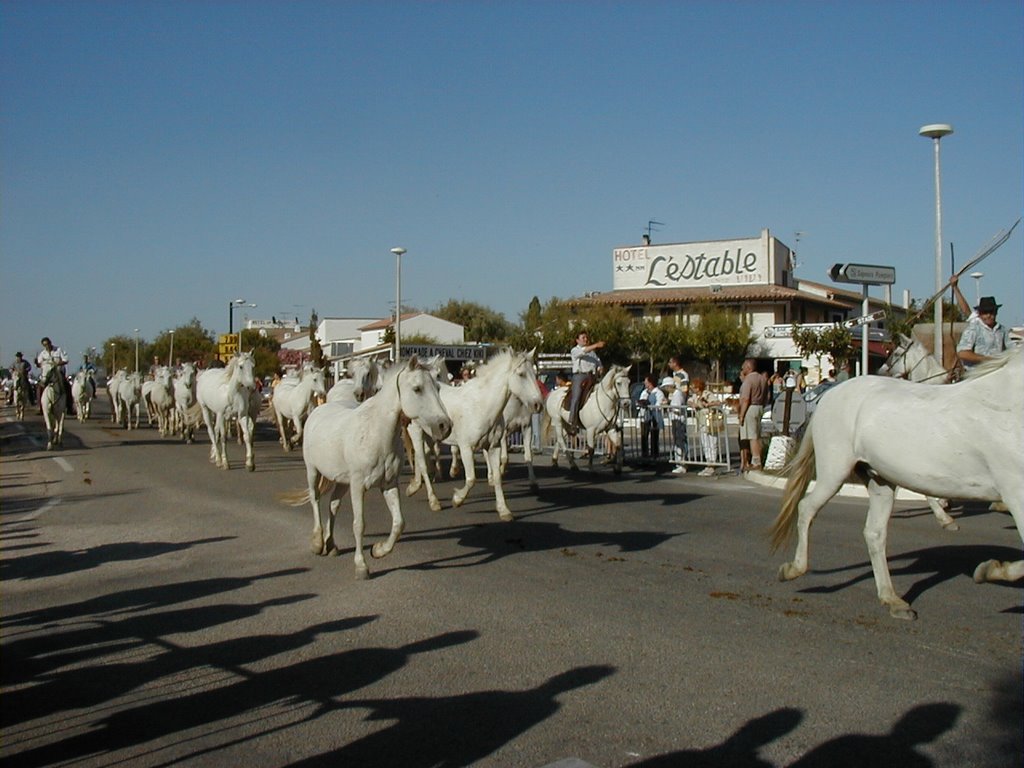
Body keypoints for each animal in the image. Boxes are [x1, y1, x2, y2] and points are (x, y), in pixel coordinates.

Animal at [284, 358, 452, 581]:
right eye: (417, 389)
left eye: (438, 387)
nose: (445, 426)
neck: (376, 433)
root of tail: (318, 410)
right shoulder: (358, 487)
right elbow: (359, 524)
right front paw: (361, 566)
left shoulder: (389, 485)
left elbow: (399, 523)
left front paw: (378, 550)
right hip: (313, 472)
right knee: (315, 499)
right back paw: (318, 543)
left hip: (341, 481)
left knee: (333, 505)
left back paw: (331, 545)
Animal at [770, 348, 1024, 618]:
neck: (1006, 405)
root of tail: (829, 396)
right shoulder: (1016, 495)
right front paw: (987, 570)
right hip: (834, 472)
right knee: (806, 508)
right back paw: (792, 570)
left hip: (880, 482)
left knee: (874, 533)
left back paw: (893, 600)